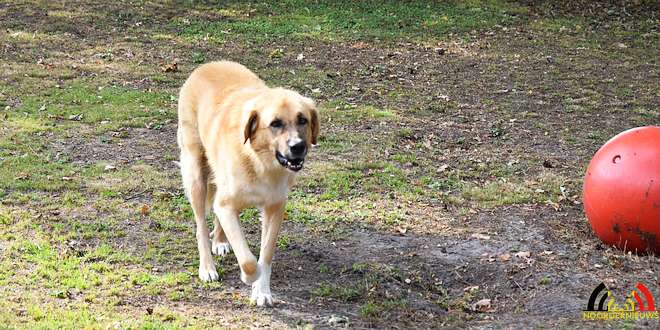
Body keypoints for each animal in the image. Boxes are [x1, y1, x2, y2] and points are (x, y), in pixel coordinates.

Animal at [175, 60, 320, 306]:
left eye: (303, 120)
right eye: (275, 124)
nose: (298, 146)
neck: (260, 162)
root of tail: (208, 65)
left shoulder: (274, 208)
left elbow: (265, 255)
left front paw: (261, 291)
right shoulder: (226, 205)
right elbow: (249, 260)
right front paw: (248, 277)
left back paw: (220, 241)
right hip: (196, 175)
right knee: (201, 227)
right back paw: (207, 267)